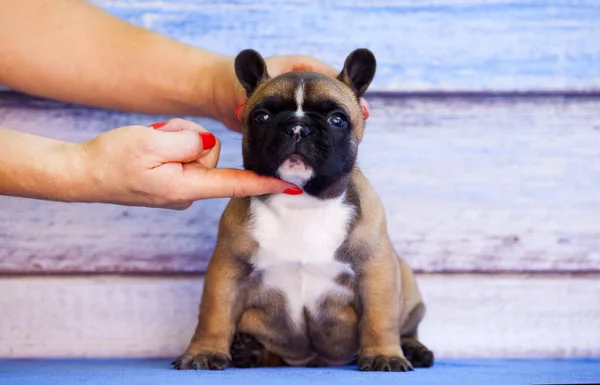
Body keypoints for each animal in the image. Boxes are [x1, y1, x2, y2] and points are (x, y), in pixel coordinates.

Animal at [171, 46, 434, 370]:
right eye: (262, 116)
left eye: (337, 119)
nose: (297, 128)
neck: (302, 199)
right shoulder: (227, 271)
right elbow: (214, 315)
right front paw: (204, 352)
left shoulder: (377, 272)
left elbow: (379, 318)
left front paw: (384, 355)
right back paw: (249, 349)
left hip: (406, 282)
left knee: (406, 326)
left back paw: (413, 349)